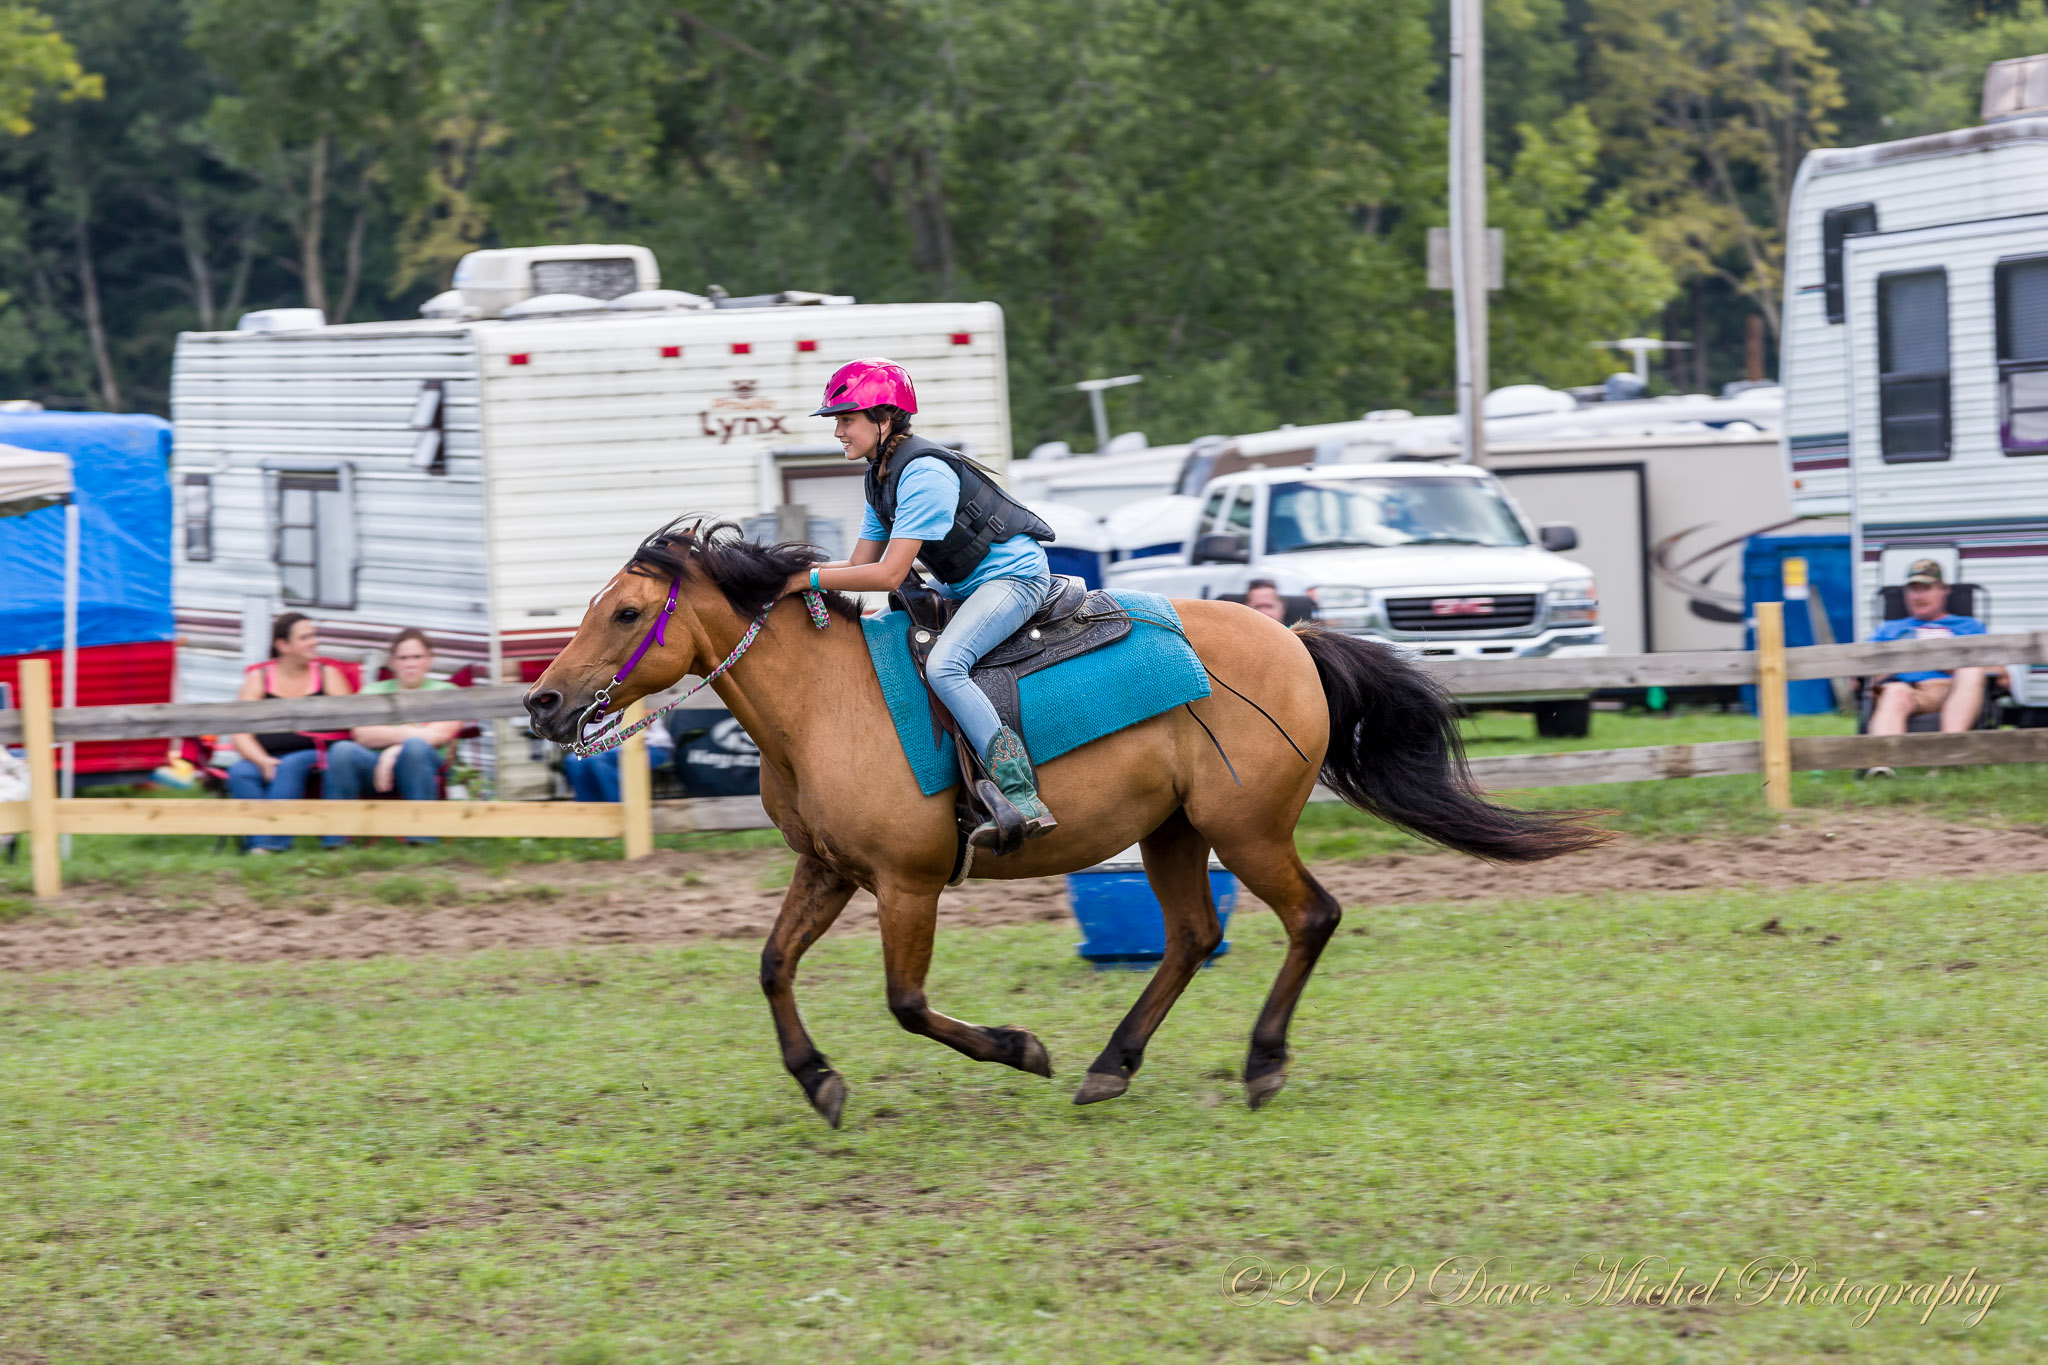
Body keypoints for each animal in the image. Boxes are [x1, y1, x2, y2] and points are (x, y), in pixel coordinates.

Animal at [525, 519, 1605, 1127]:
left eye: (626, 614)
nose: (542, 702)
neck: (822, 704)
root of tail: (1292, 634)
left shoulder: (906, 885)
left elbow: (907, 1002)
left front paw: (1019, 1048)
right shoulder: (826, 873)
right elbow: (771, 967)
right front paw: (817, 1080)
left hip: (1248, 831)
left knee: (1310, 918)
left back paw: (1257, 1062)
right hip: (1175, 834)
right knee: (1192, 936)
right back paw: (1111, 1065)